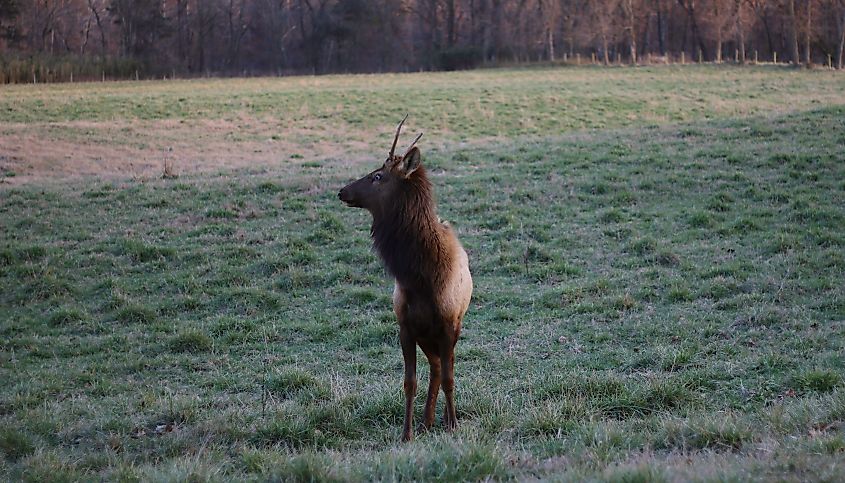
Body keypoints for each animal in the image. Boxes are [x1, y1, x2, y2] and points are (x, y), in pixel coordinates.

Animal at [338, 117, 472, 442]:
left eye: (378, 175)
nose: (342, 191)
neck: (421, 278)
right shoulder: (406, 326)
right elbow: (409, 382)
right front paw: (406, 432)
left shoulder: (448, 325)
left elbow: (450, 378)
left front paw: (453, 424)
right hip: (425, 336)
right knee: (434, 367)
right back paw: (426, 421)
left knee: (442, 368)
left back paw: (439, 419)